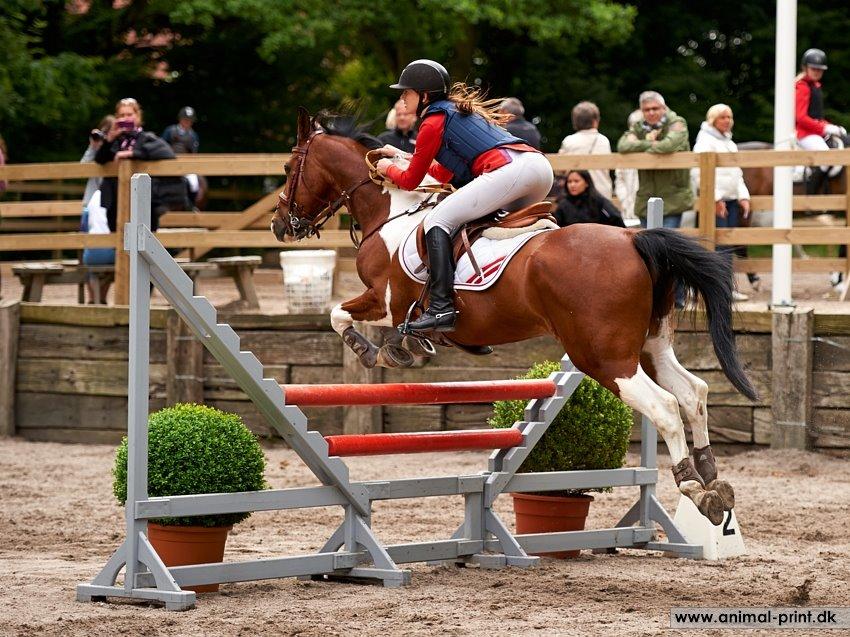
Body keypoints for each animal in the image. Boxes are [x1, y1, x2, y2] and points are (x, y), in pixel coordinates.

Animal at [272, 108, 756, 528]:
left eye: (288, 167)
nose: (280, 224)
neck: (390, 213)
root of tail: (634, 239)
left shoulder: (384, 300)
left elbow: (338, 314)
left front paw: (374, 350)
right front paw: (407, 346)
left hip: (603, 357)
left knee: (666, 407)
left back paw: (694, 487)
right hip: (650, 347)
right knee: (693, 393)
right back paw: (712, 478)